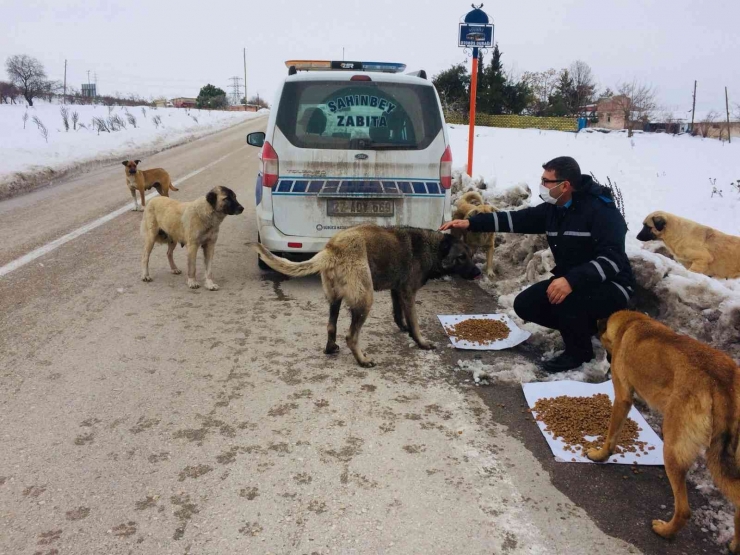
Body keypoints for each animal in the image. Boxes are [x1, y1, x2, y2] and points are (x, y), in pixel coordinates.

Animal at [250, 226, 480, 370]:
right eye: (461, 257)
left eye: (471, 255)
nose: (478, 273)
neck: (432, 247)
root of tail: (331, 249)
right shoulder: (408, 293)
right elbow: (415, 323)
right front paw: (420, 341)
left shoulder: (397, 291)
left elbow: (399, 315)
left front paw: (404, 328)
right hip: (365, 300)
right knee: (351, 336)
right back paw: (362, 360)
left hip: (335, 299)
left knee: (331, 326)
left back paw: (330, 348)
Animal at [588, 312, 740, 552]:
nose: (608, 364)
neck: (631, 323)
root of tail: (723, 384)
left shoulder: (622, 397)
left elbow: (611, 435)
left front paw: (601, 455)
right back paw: (735, 543)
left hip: (673, 449)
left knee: (684, 510)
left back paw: (665, 531)